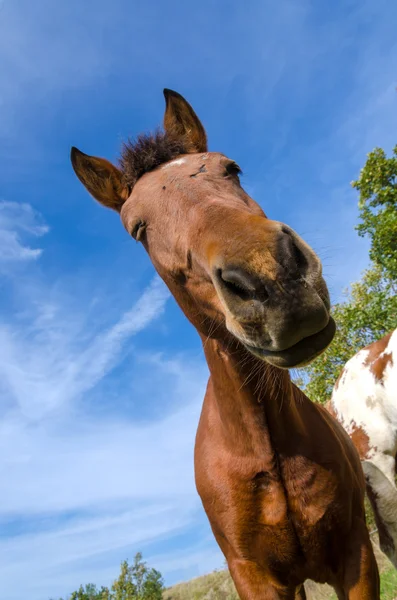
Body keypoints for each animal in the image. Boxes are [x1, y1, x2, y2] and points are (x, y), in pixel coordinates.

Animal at [69, 86, 378, 596]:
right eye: (137, 229)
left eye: (231, 168)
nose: (272, 278)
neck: (265, 447)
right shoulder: (255, 578)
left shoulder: (356, 556)